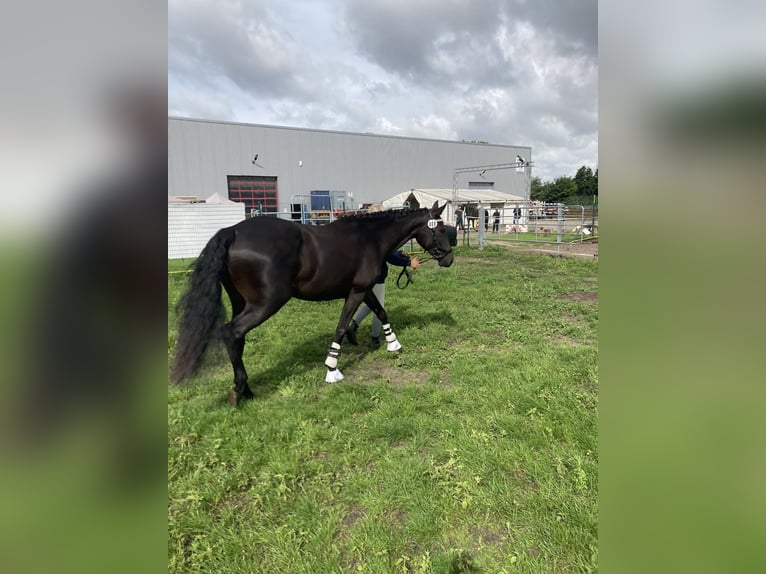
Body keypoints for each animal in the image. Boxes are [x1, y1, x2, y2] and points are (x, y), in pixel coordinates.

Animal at [170, 202, 452, 404]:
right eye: (439, 229)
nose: (449, 258)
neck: (369, 238)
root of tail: (234, 231)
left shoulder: (363, 290)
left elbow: (381, 312)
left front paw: (393, 343)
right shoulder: (357, 291)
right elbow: (342, 326)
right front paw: (332, 368)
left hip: (242, 302)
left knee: (237, 339)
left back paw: (247, 389)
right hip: (266, 304)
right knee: (232, 332)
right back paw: (240, 389)